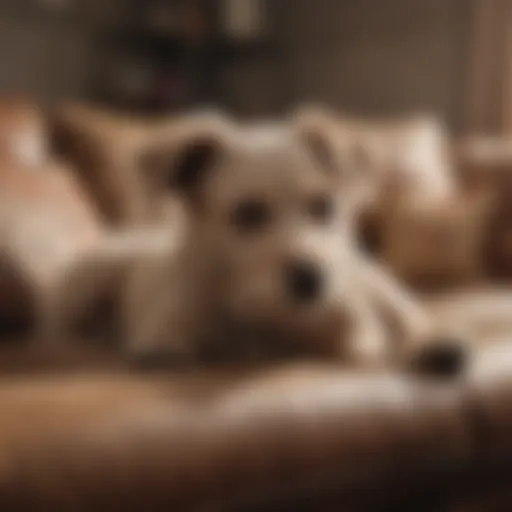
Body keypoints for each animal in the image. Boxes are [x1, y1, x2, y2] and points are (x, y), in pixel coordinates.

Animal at [43, 113, 468, 376]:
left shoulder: (348, 318)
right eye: (247, 213)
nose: (312, 278)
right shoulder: (167, 324)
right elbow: (170, 341)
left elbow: (363, 342)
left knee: (410, 319)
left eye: (324, 206)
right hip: (86, 283)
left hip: (376, 282)